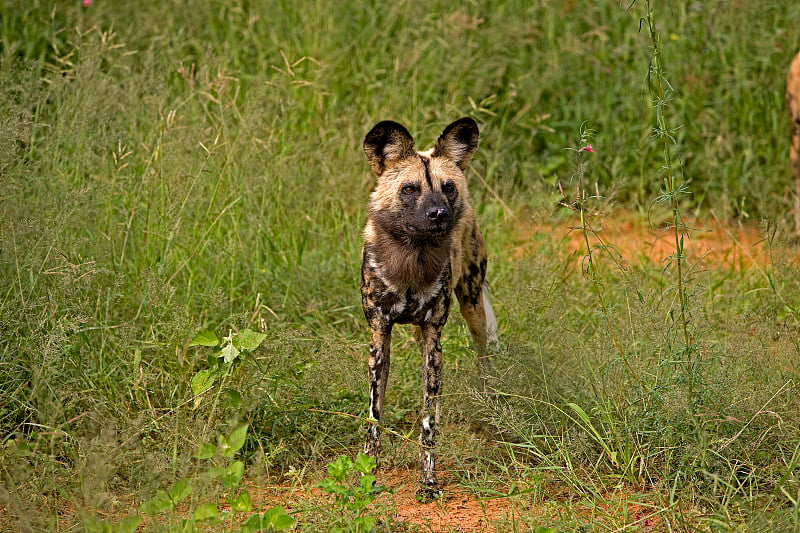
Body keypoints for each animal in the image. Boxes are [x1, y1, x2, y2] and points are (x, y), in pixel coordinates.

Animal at [360, 116, 496, 498]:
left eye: (447, 187)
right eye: (409, 189)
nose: (439, 214)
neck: (411, 260)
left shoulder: (434, 341)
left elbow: (428, 421)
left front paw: (428, 480)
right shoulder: (380, 338)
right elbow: (374, 416)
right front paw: (368, 473)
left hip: (472, 306)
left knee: (484, 353)